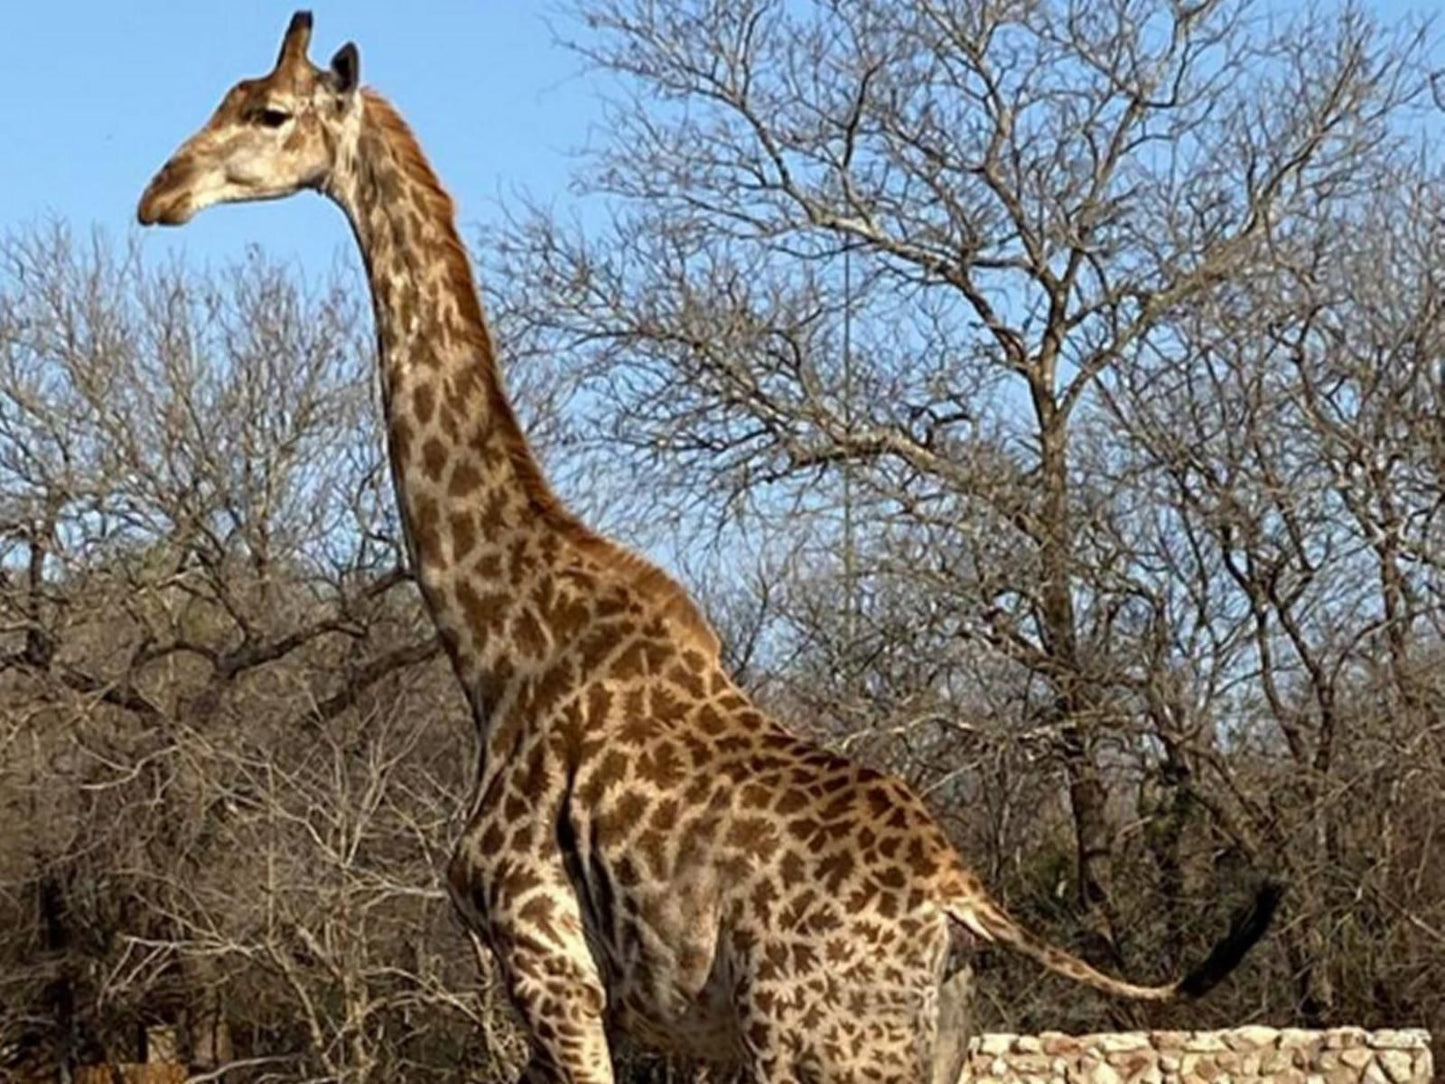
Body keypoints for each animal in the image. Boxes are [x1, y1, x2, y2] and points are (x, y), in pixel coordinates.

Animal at [140, 16, 1283, 1084]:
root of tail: (961, 902)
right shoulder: (591, 995)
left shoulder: (544, 960)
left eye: (269, 113)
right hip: (924, 1043)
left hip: (815, 1046)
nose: (159, 192)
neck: (496, 641)